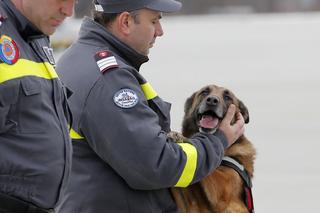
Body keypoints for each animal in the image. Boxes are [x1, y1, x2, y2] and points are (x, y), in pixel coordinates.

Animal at [171, 84, 256, 213]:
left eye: (227, 97)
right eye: (204, 92)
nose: (212, 100)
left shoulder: (223, 189)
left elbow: (208, 171)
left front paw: (182, 138)